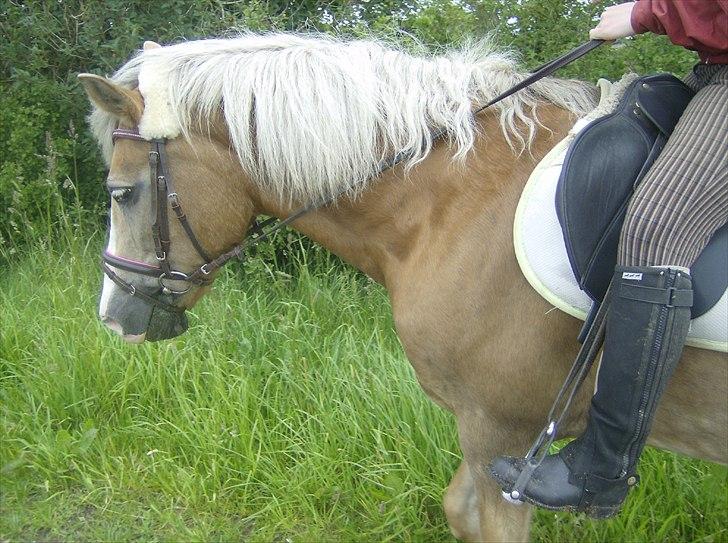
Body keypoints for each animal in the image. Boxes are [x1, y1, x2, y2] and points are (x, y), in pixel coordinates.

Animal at [77, 35, 724, 543]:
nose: (112, 317)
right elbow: (457, 510)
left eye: (121, 192)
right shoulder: (482, 434)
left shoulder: (499, 432)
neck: (457, 206)